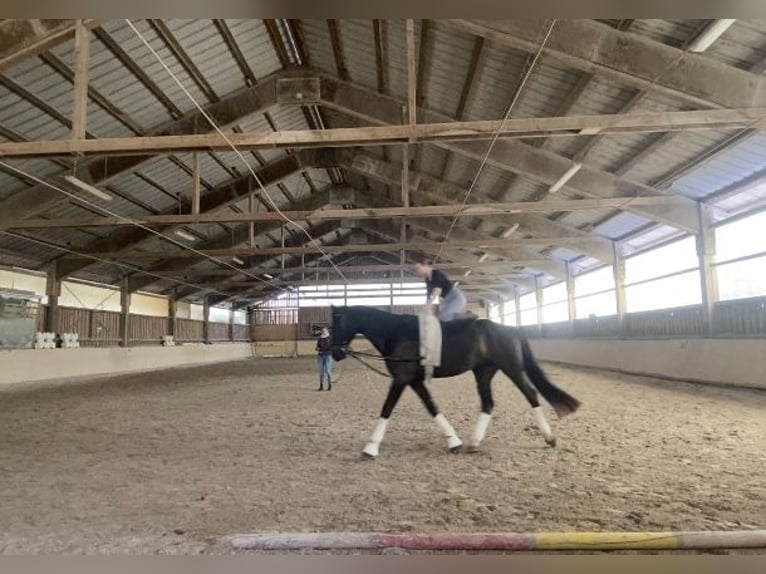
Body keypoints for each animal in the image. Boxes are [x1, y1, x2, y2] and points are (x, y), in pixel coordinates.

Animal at [332, 308, 584, 462]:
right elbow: (432, 407)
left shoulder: (401, 379)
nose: (335, 353)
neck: (396, 333)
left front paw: (370, 448)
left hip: (511, 368)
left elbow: (387, 408)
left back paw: (550, 438)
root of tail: (510, 329)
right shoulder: (414, 381)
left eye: (336, 323)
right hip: (483, 372)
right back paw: (473, 443)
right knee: (488, 403)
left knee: (530, 394)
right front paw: (454, 442)